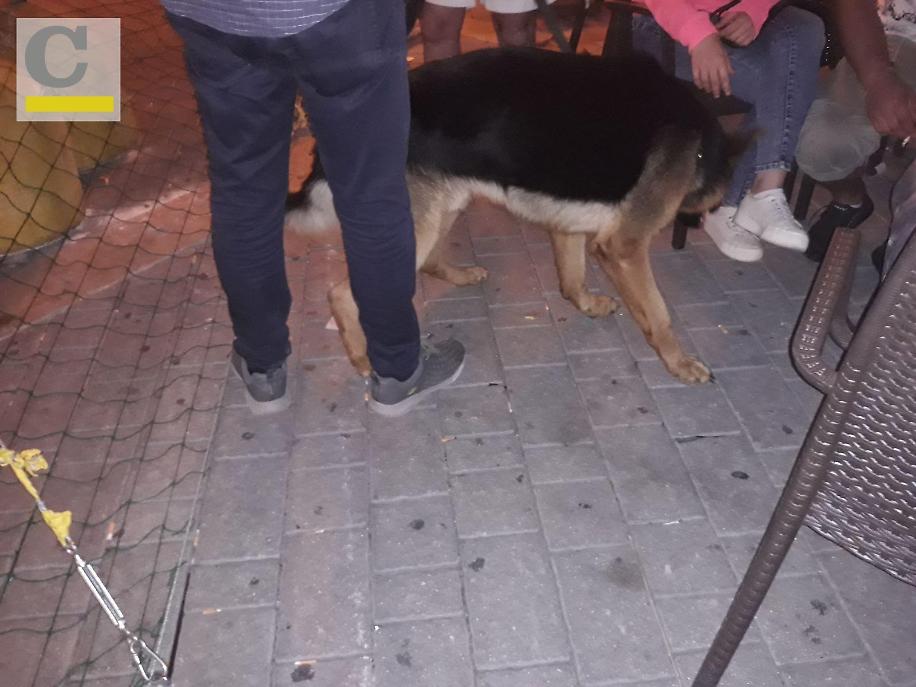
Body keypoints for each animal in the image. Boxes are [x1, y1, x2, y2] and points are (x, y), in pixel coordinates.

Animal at [286, 48, 747, 383]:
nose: (700, 221)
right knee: (341, 294)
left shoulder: (568, 225)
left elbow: (572, 278)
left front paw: (585, 304)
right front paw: (678, 362)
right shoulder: (624, 247)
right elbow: (658, 313)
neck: (701, 139)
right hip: (409, 225)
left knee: (430, 259)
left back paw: (459, 275)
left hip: (443, 205)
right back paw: (363, 357)